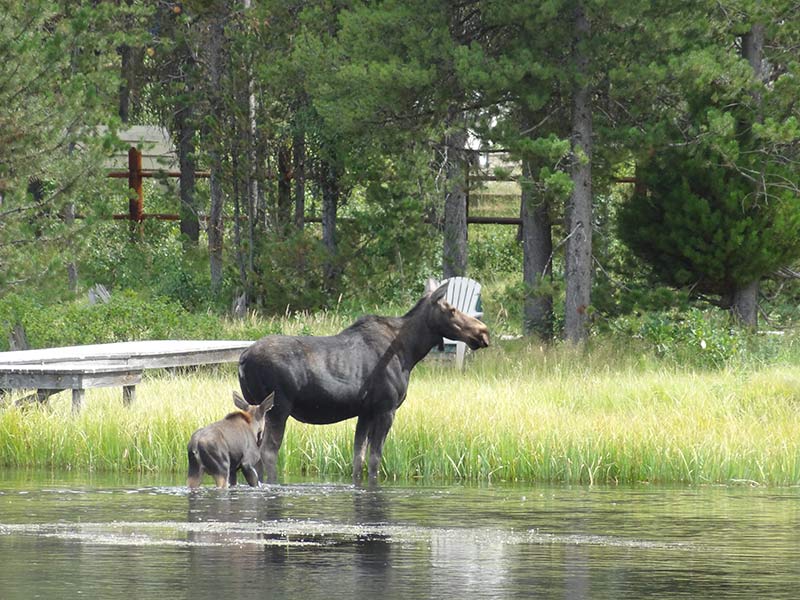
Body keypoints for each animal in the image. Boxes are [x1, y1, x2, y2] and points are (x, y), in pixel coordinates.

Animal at [238, 282, 488, 482]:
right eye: (452, 309)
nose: (483, 332)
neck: (410, 352)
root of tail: (243, 359)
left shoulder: (365, 411)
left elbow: (358, 457)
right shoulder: (386, 408)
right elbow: (375, 459)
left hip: (256, 408)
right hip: (279, 407)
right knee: (268, 453)